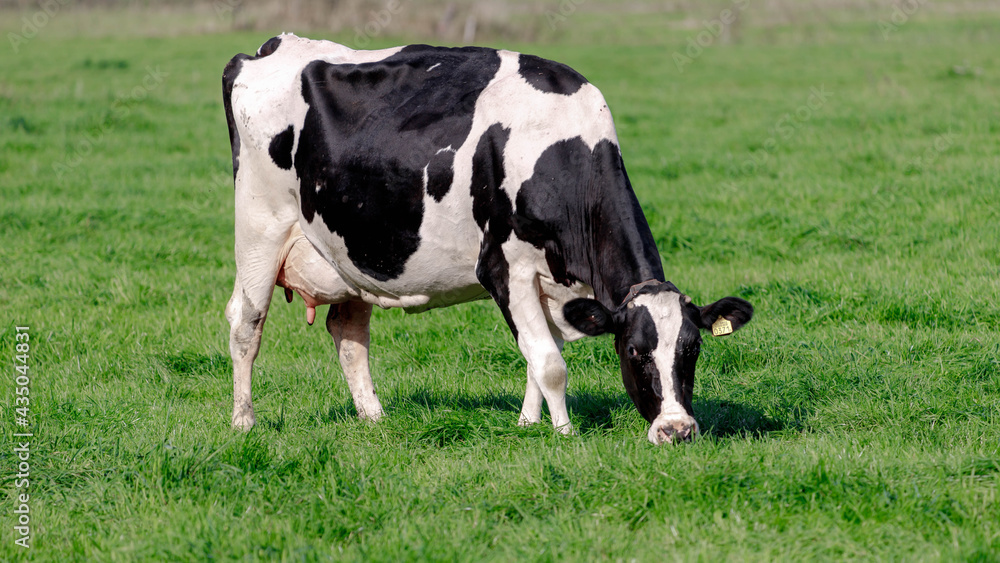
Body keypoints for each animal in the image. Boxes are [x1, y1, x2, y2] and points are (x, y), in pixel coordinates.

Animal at [219, 34, 752, 446]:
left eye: (692, 350)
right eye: (635, 352)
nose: (677, 431)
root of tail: (270, 47)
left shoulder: (546, 283)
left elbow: (538, 357)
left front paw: (528, 423)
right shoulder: (503, 267)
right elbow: (549, 361)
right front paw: (564, 435)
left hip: (349, 249)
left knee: (348, 334)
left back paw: (375, 419)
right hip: (260, 227)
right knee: (246, 323)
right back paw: (244, 422)